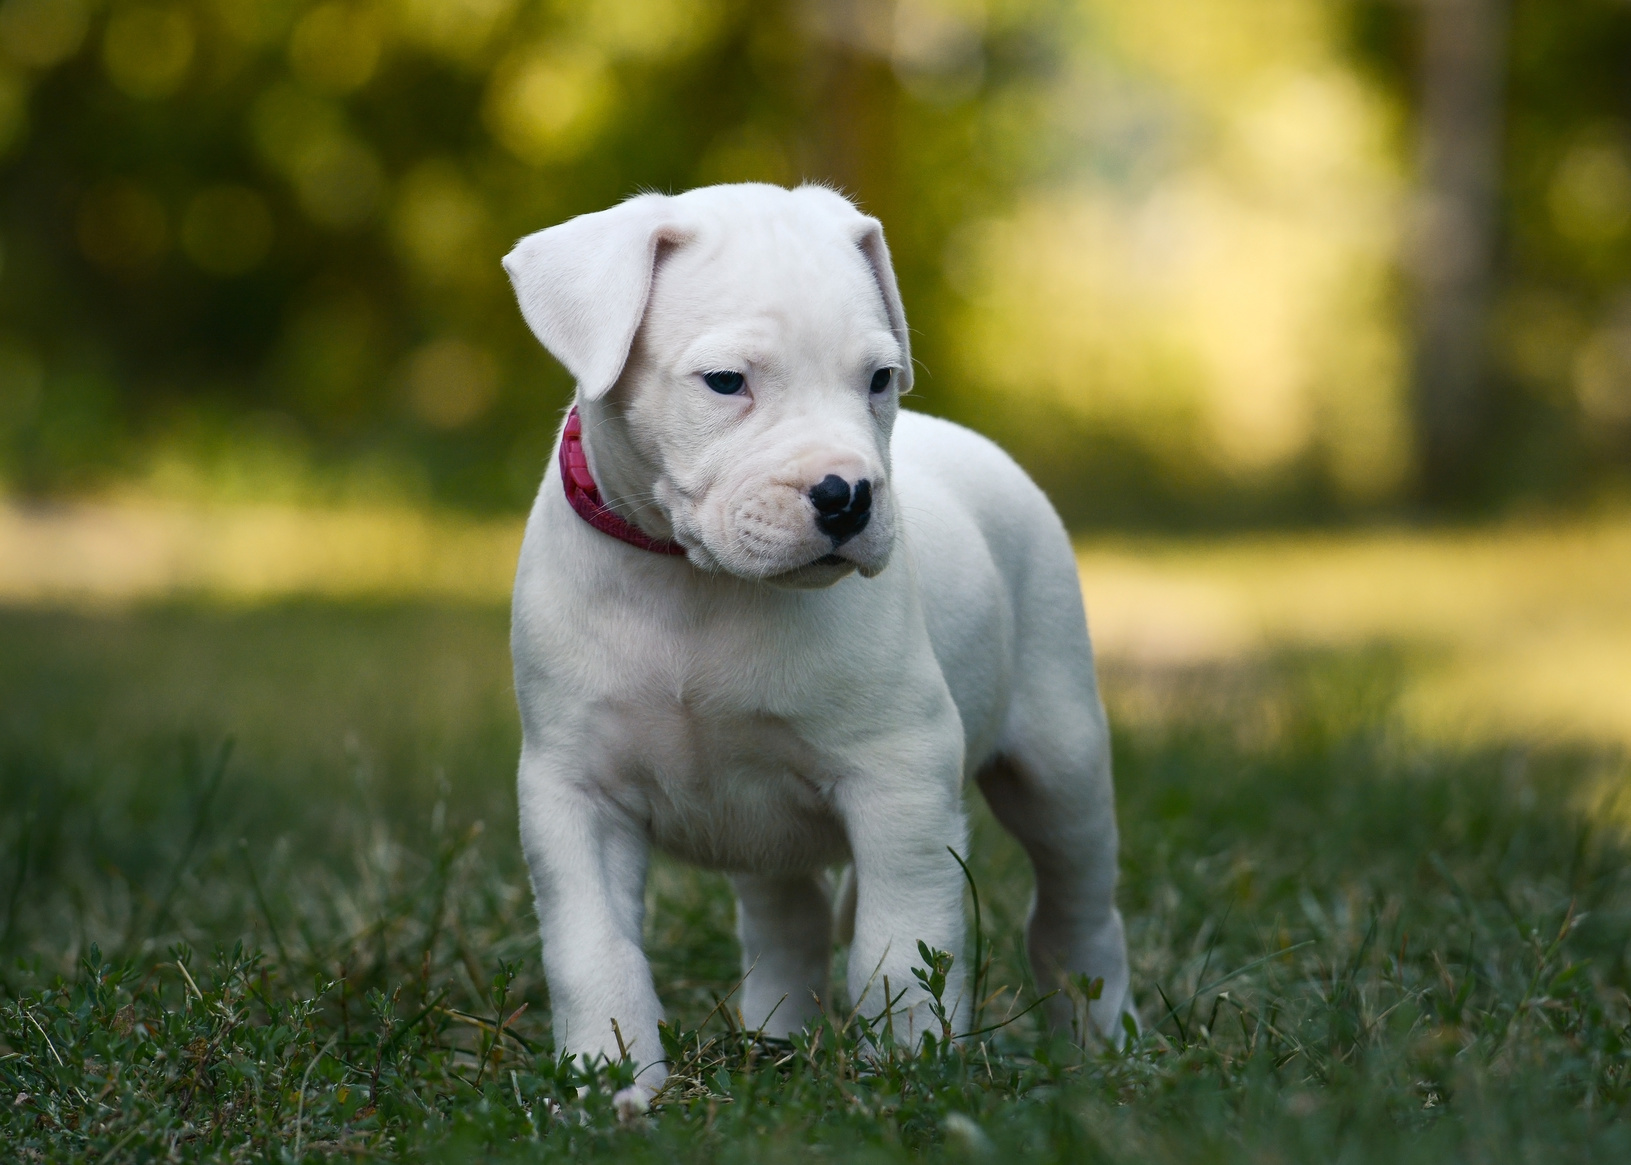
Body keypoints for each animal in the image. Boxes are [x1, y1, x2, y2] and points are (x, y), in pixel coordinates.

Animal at [502, 177, 1128, 1096]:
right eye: (725, 382)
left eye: (878, 379)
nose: (847, 495)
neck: (695, 585)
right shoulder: (574, 793)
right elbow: (592, 948)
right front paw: (610, 1077)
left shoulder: (899, 778)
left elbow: (899, 946)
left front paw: (906, 1068)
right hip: (764, 828)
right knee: (786, 920)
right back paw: (773, 1039)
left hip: (1059, 762)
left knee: (1078, 904)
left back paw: (1102, 1036)